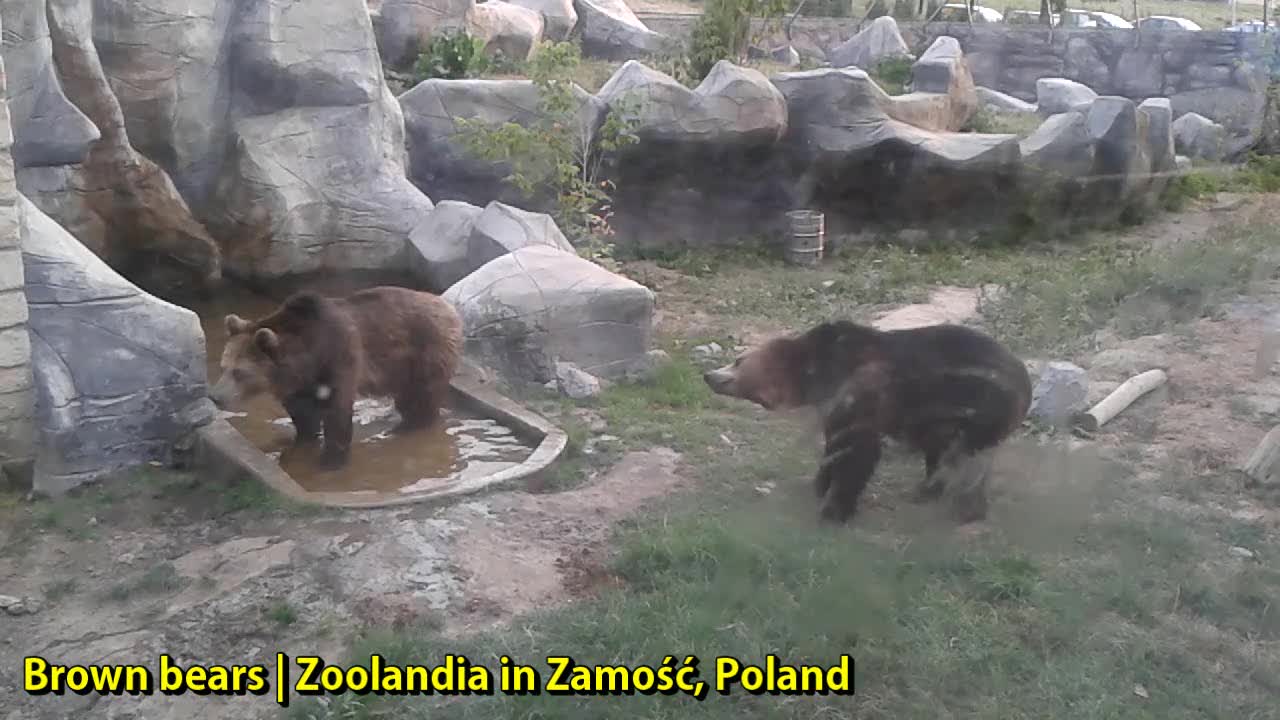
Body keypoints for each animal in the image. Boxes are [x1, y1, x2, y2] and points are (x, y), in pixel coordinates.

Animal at [209, 285, 465, 471]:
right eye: (223, 366)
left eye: (240, 372)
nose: (216, 396)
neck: (307, 357)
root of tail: (448, 306)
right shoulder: (299, 384)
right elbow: (303, 415)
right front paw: (301, 440)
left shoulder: (338, 359)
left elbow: (336, 410)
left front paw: (331, 460)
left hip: (424, 352)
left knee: (422, 396)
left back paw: (408, 427)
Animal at [701, 322, 1029, 525]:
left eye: (738, 360)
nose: (708, 375)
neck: (815, 373)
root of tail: (1025, 382)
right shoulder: (835, 405)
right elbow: (834, 446)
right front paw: (820, 484)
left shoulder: (861, 398)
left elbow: (857, 454)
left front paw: (834, 510)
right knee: (942, 454)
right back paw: (928, 491)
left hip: (978, 410)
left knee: (966, 461)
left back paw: (965, 508)